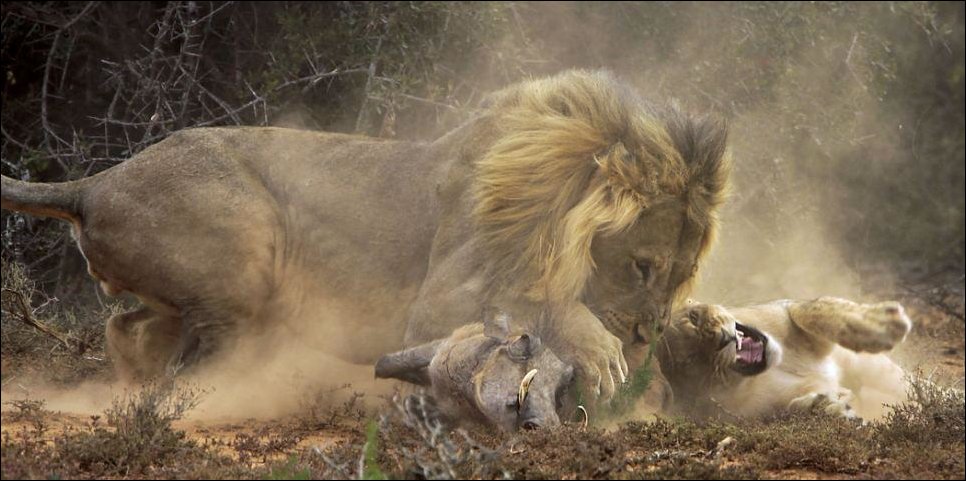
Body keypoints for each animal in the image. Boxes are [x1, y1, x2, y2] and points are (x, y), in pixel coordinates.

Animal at [0, 68, 728, 398]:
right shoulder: (436, 302)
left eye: (679, 275)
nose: (646, 334)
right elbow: (541, 299)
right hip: (249, 245)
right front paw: (601, 351)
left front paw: (711, 325)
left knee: (125, 328)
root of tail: (96, 181)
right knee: (196, 366)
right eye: (641, 266)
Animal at [656, 298, 916, 418]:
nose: (721, 339)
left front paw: (886, 324)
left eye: (694, 318)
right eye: (692, 360)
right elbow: (793, 408)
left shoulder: (785, 310)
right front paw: (830, 408)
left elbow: (814, 311)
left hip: (872, 368)